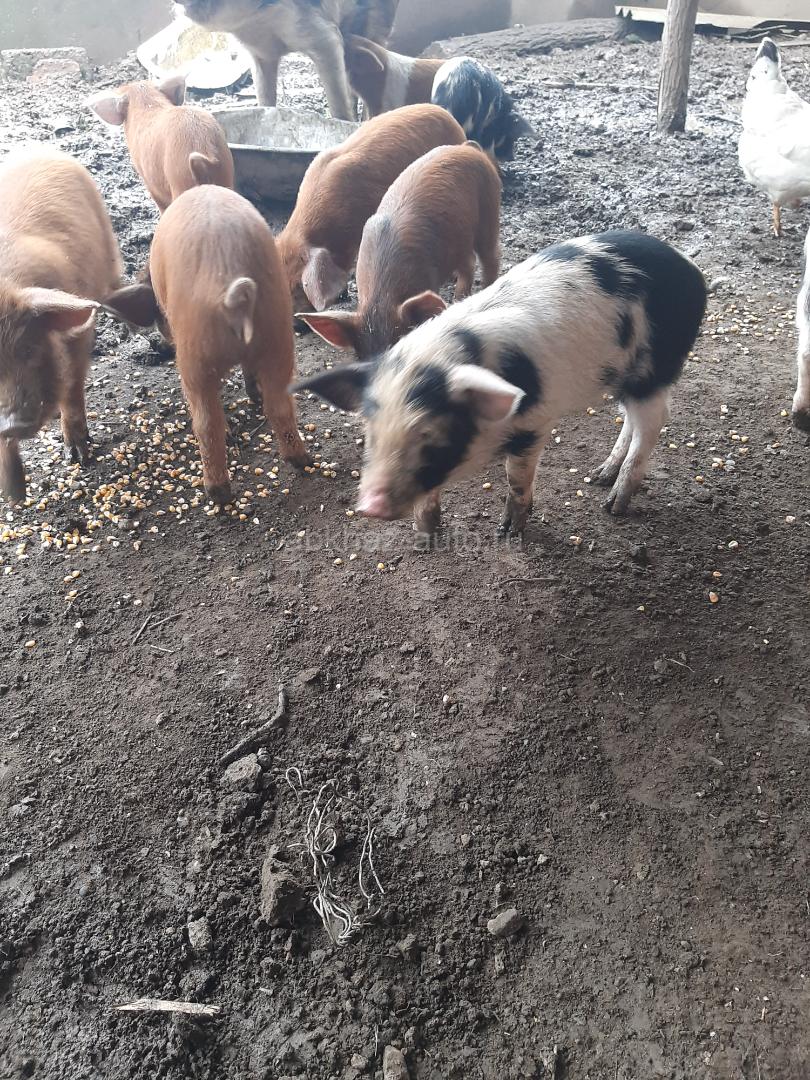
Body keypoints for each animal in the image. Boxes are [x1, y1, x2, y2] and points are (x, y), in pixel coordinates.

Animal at [0, 149, 123, 503]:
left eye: (29, 349)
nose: (11, 422)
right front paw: (15, 496)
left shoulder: (78, 339)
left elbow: (73, 389)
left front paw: (80, 456)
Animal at [103, 185, 309, 505]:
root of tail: (233, 293)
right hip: (278, 335)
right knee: (279, 404)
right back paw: (300, 459)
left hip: (195, 355)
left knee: (207, 421)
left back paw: (217, 493)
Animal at [292, 231, 707, 541]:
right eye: (371, 434)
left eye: (430, 437)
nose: (369, 507)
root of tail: (690, 268)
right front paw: (426, 534)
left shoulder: (535, 423)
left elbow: (516, 478)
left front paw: (507, 532)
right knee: (631, 421)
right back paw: (599, 476)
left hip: (654, 367)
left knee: (654, 420)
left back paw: (614, 504)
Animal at [297, 142, 501, 359]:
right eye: (361, 357)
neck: (381, 297)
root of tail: (467, 147)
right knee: (469, 263)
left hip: (489, 210)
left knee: (491, 258)